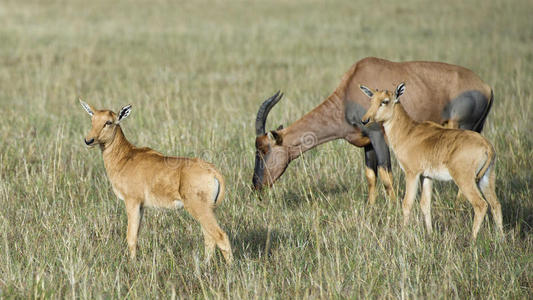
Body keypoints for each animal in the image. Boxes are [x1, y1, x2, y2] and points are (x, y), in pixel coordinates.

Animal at [79, 100, 233, 262]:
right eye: (93, 119)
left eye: (108, 122)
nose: (88, 140)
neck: (126, 157)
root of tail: (213, 171)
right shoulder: (141, 206)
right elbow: (136, 235)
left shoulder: (132, 202)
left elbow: (131, 237)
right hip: (207, 210)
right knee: (209, 238)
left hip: (199, 209)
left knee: (220, 236)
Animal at [360, 83, 500, 240]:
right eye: (371, 100)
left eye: (385, 101)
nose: (365, 120)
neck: (409, 132)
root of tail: (487, 146)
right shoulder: (426, 177)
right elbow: (425, 204)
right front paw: (430, 233)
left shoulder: (412, 174)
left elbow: (407, 203)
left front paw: (403, 232)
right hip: (486, 178)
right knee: (496, 204)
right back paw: (501, 238)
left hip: (465, 180)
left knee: (481, 205)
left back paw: (472, 239)